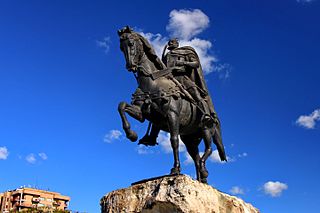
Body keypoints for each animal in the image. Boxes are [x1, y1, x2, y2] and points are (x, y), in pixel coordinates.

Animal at [117, 27, 225, 183]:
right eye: (121, 47)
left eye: (131, 43)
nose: (130, 66)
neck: (152, 83)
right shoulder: (142, 113)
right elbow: (121, 106)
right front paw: (131, 134)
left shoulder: (172, 115)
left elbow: (174, 141)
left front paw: (175, 169)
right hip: (190, 139)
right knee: (196, 158)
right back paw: (201, 179)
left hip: (207, 129)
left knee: (208, 149)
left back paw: (204, 171)